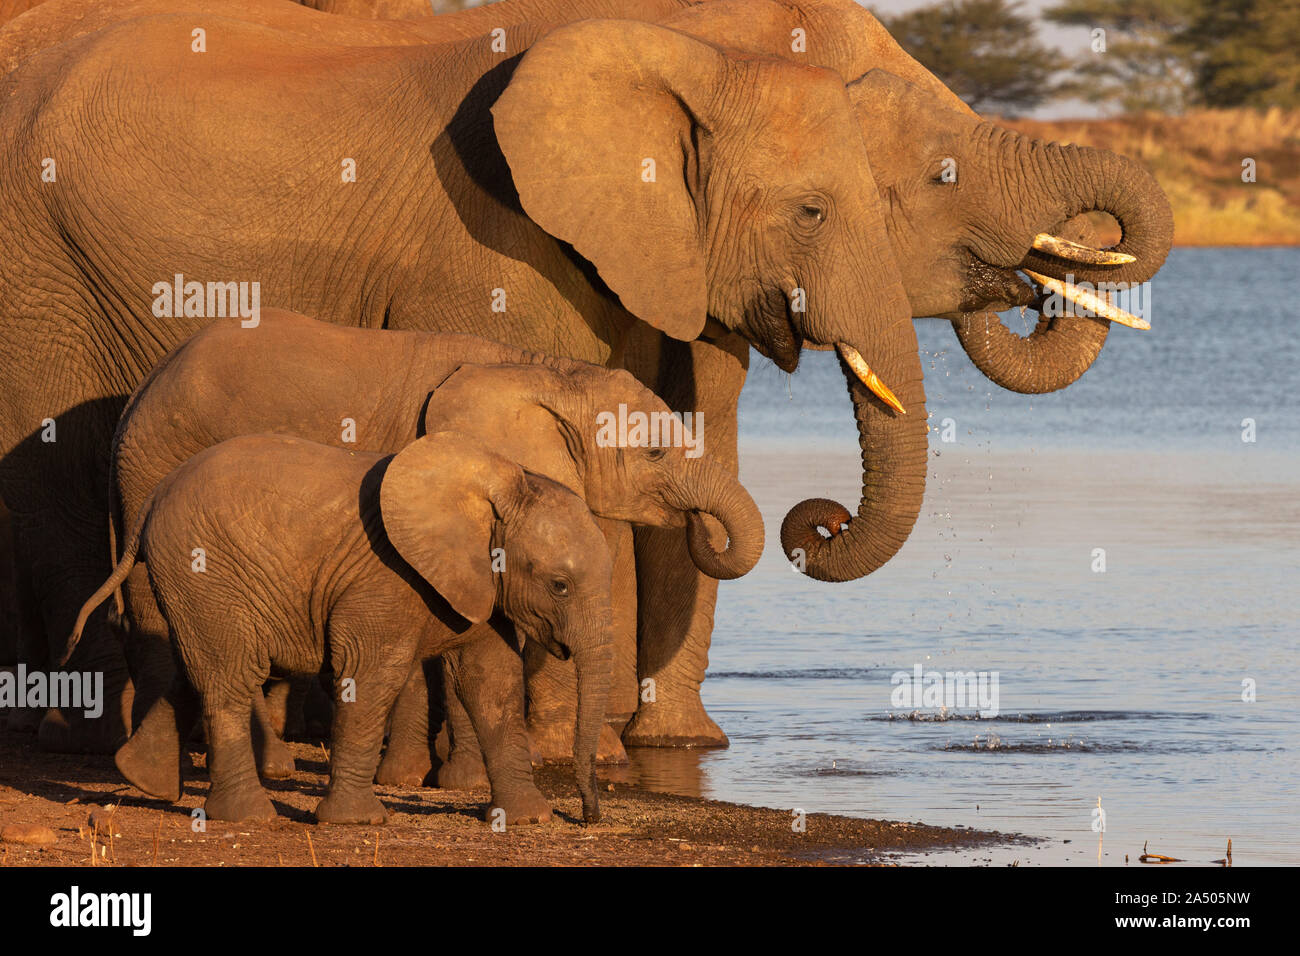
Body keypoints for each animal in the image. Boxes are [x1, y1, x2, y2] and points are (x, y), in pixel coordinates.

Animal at [66, 432, 617, 825]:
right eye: (560, 585)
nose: (588, 817)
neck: (502, 483)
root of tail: (150, 502)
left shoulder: (480, 584)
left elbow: (493, 683)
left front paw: (528, 819)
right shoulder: (385, 578)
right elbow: (371, 676)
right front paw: (357, 823)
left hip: (188, 581)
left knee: (195, 662)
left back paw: (145, 781)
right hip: (201, 568)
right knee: (231, 676)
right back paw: (250, 818)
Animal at [104, 310, 762, 801]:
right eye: (654, 453)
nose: (699, 524)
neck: (543, 373)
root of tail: (141, 390)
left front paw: (440, 779)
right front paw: (429, 779)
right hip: (159, 464)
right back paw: (179, 775)